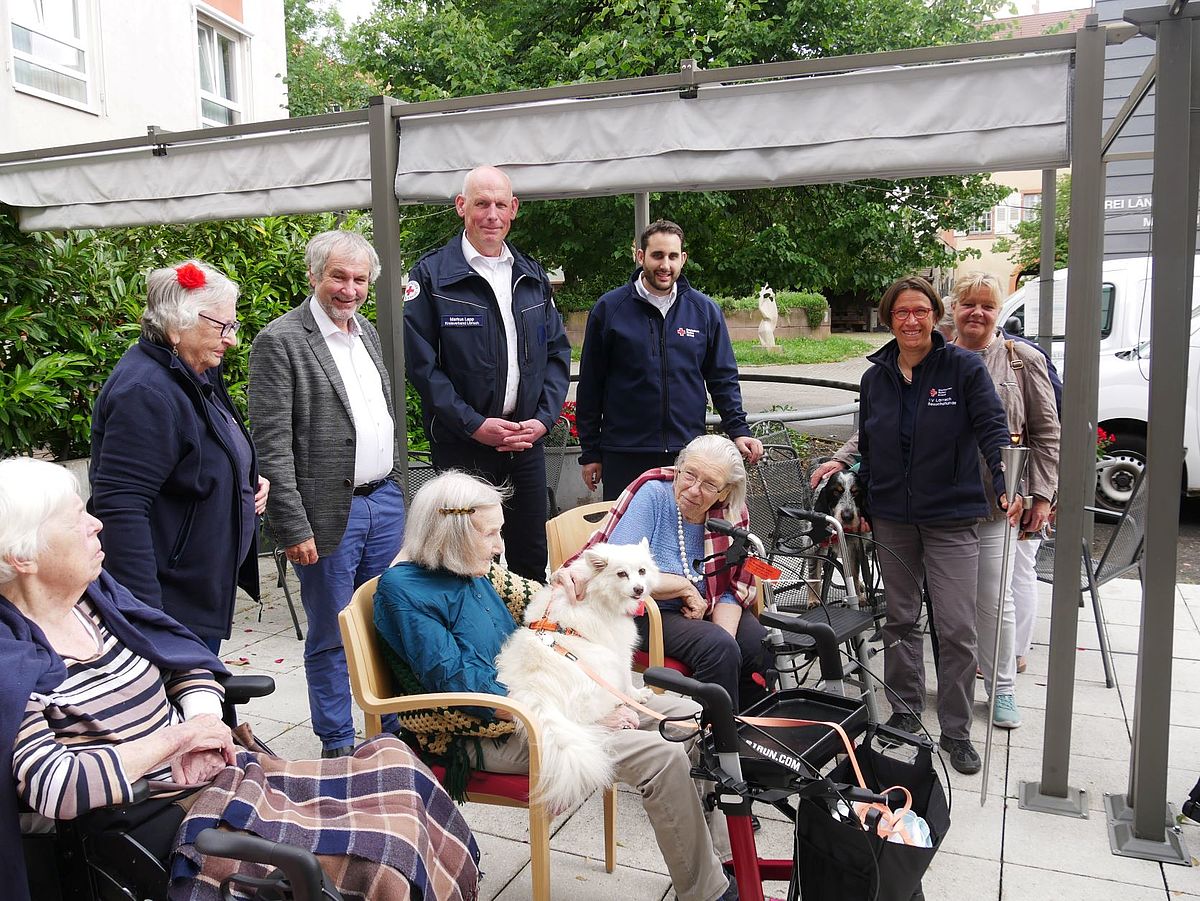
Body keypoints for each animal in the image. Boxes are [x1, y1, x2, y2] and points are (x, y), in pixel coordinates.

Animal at [494, 539, 657, 815]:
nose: (639, 589)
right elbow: (626, 681)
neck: (595, 591)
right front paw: (638, 695)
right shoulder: (620, 651)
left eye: (642, 571)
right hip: (602, 667)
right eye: (621, 574)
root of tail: (535, 691)